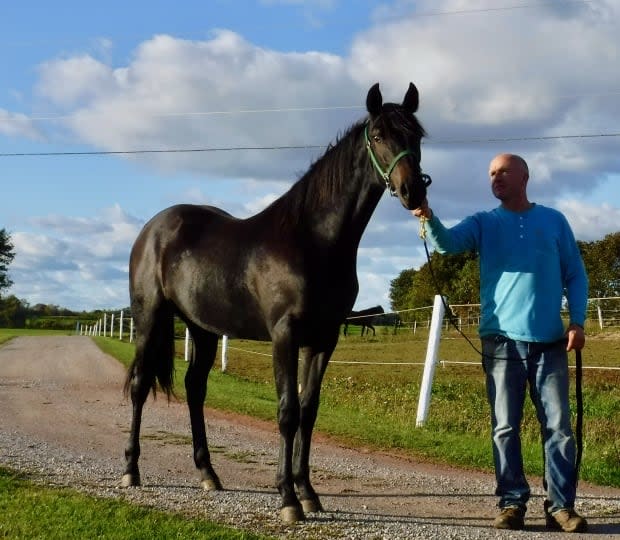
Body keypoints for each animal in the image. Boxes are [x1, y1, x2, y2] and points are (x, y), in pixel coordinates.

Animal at [121, 81, 432, 524]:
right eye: (377, 135)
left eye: (417, 136)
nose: (412, 191)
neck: (313, 240)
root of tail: (152, 229)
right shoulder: (285, 335)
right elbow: (287, 412)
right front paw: (287, 499)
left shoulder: (324, 338)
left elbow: (309, 410)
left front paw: (308, 492)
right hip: (150, 318)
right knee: (140, 385)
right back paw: (131, 469)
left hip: (203, 328)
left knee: (195, 389)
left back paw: (208, 474)